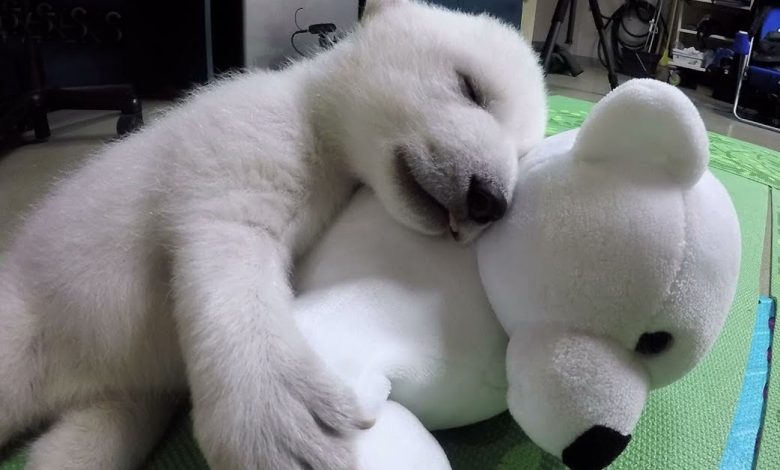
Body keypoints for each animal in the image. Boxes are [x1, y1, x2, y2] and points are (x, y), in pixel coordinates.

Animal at [0, 0, 547, 469]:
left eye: (523, 151)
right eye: (470, 87)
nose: (489, 200)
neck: (315, 114)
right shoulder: (247, 132)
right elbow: (229, 236)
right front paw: (285, 425)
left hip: (118, 397)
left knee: (96, 433)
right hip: (24, 321)